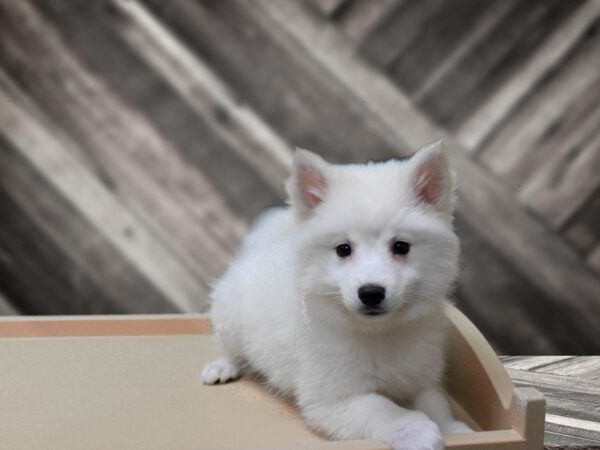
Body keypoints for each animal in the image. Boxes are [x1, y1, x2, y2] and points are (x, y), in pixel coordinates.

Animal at [203, 142, 474, 450]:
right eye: (343, 249)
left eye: (401, 246)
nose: (371, 292)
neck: (380, 332)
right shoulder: (332, 398)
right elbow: (380, 408)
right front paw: (415, 429)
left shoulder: (420, 375)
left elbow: (436, 401)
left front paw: (453, 429)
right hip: (230, 320)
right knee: (230, 348)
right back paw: (222, 367)